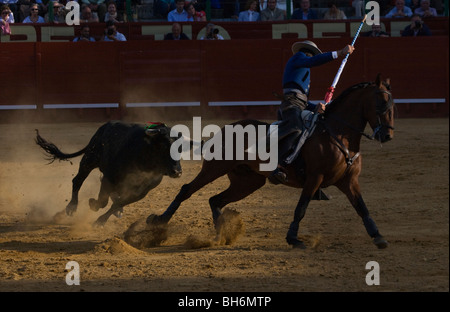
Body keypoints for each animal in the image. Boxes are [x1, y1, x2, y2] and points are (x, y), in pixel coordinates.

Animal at [34, 120, 186, 225]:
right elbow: (103, 201)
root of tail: (104, 126)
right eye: (163, 146)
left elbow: (118, 203)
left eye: (181, 149)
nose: (177, 172)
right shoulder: (109, 178)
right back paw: (71, 207)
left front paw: (101, 220)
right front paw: (93, 205)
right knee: (77, 181)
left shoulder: (142, 192)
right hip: (89, 160)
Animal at [148, 75, 394, 249]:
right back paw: (159, 221)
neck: (338, 135)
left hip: (248, 182)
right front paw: (293, 239)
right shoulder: (314, 178)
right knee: (187, 190)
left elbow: (361, 207)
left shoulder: (349, 181)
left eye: (393, 106)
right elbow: (301, 208)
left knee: (215, 199)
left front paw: (378, 236)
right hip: (214, 168)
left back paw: (221, 234)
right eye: (381, 103)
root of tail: (221, 131)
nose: (387, 135)